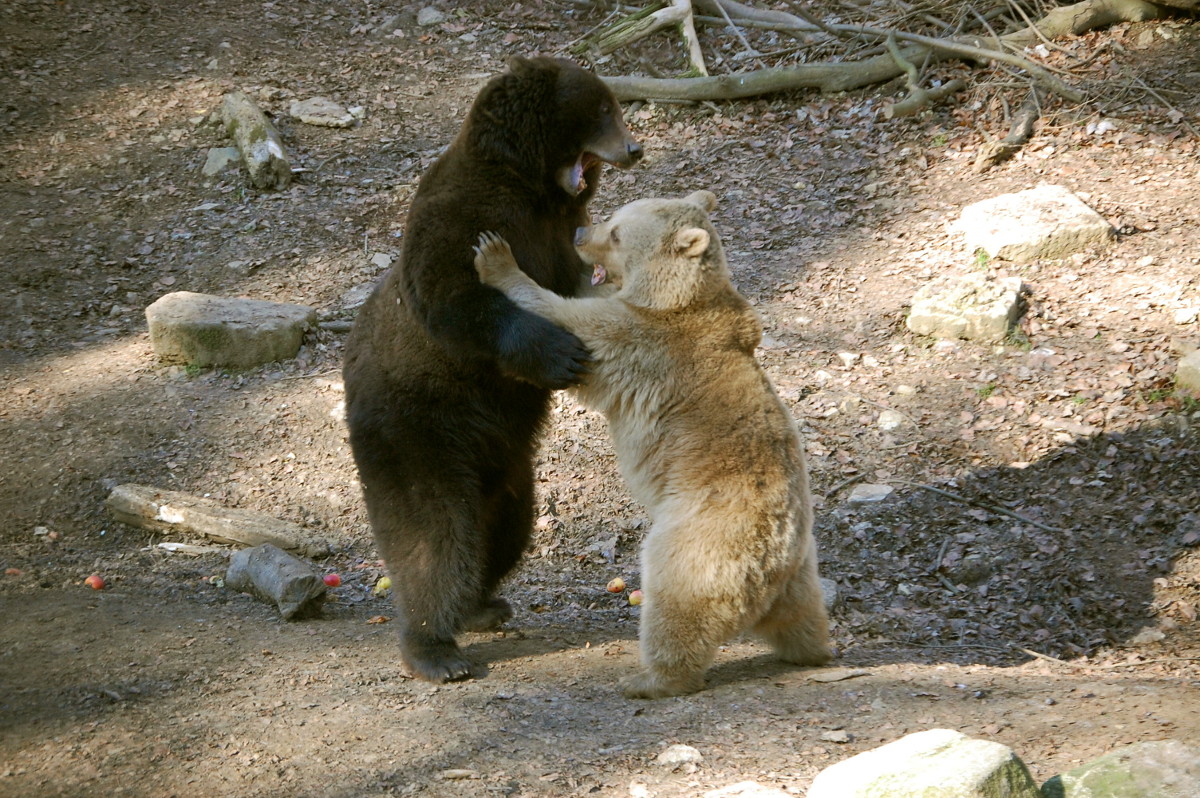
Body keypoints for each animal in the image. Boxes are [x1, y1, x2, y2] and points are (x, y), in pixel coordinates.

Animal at [340, 56, 638, 681]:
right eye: (602, 107)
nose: (634, 148)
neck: (537, 191)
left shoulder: (559, 233)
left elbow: (574, 285)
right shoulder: (465, 216)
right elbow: (457, 296)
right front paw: (560, 353)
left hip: (502, 459)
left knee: (505, 523)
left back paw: (482, 603)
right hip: (415, 426)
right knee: (434, 534)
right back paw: (434, 647)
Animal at [472, 189, 830, 696]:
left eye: (618, 233)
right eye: (612, 216)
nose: (580, 233)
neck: (679, 299)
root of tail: (773, 558)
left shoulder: (645, 343)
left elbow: (572, 324)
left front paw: (496, 255)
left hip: (701, 538)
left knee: (677, 602)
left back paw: (649, 679)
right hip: (801, 570)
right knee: (803, 612)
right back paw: (812, 650)